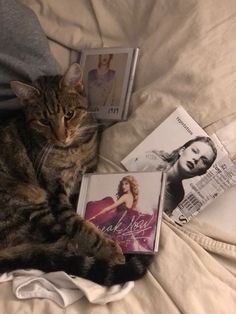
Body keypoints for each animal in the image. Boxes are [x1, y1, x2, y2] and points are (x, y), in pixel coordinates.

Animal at [0, 62, 153, 286]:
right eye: (44, 121)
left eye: (69, 114)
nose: (61, 136)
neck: (73, 150)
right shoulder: (55, 192)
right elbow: (79, 224)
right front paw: (108, 248)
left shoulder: (83, 178)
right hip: (29, 198)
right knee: (62, 241)